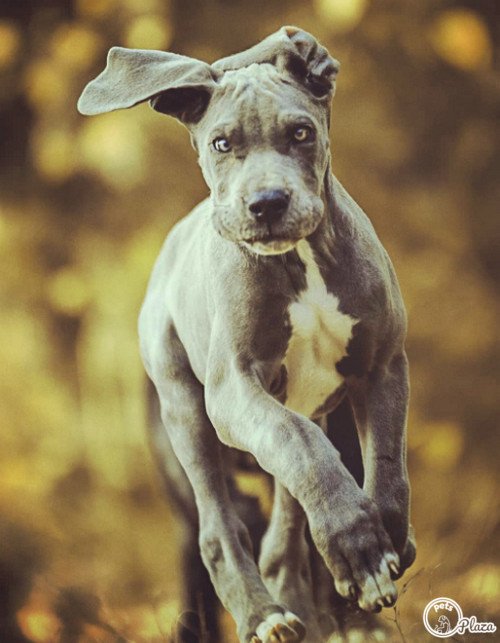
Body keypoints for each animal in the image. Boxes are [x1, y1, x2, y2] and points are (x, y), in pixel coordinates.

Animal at [78, 26, 414, 643]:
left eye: (301, 132)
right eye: (221, 143)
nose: (266, 204)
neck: (302, 258)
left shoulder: (382, 365)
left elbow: (385, 468)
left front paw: (382, 545)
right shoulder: (235, 390)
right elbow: (300, 446)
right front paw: (360, 551)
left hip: (304, 410)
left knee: (285, 526)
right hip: (187, 413)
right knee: (220, 528)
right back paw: (266, 614)